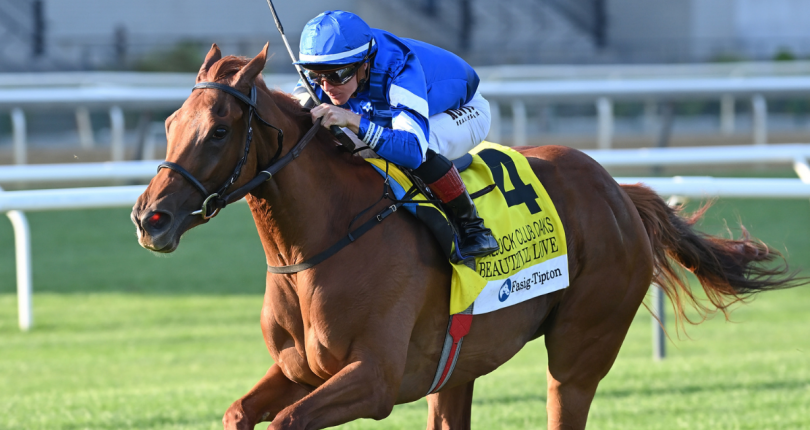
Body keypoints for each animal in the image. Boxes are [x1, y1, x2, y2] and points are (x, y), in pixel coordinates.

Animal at [133, 44, 796, 430]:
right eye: (170, 122)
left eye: (219, 130)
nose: (149, 219)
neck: (319, 246)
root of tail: (616, 189)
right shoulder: (301, 369)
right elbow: (238, 412)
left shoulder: (373, 379)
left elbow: (288, 420)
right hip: (458, 368)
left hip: (581, 352)